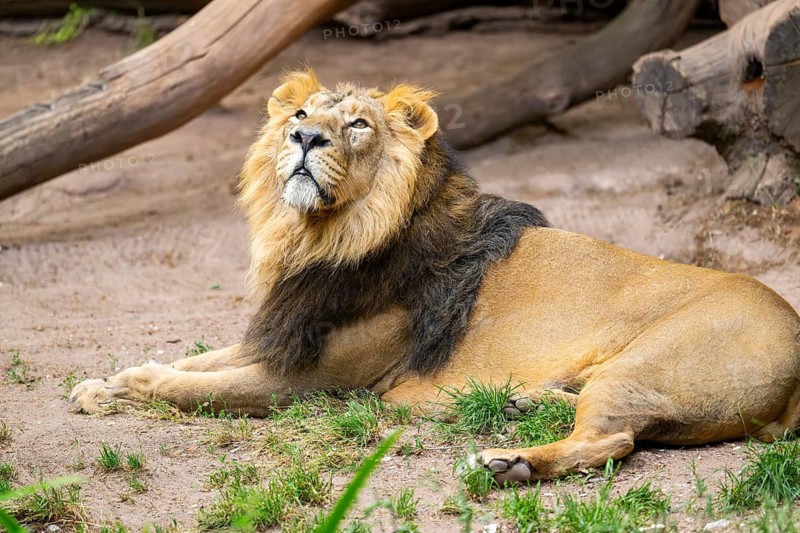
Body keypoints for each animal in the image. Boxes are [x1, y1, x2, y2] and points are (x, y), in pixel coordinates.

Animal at [70, 68, 800, 483]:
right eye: (301, 117)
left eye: (357, 124)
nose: (306, 140)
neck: (320, 236)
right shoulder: (283, 333)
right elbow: (193, 360)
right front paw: (106, 382)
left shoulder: (316, 380)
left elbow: (201, 388)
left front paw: (127, 390)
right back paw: (521, 404)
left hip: (642, 367)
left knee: (613, 439)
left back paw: (506, 462)